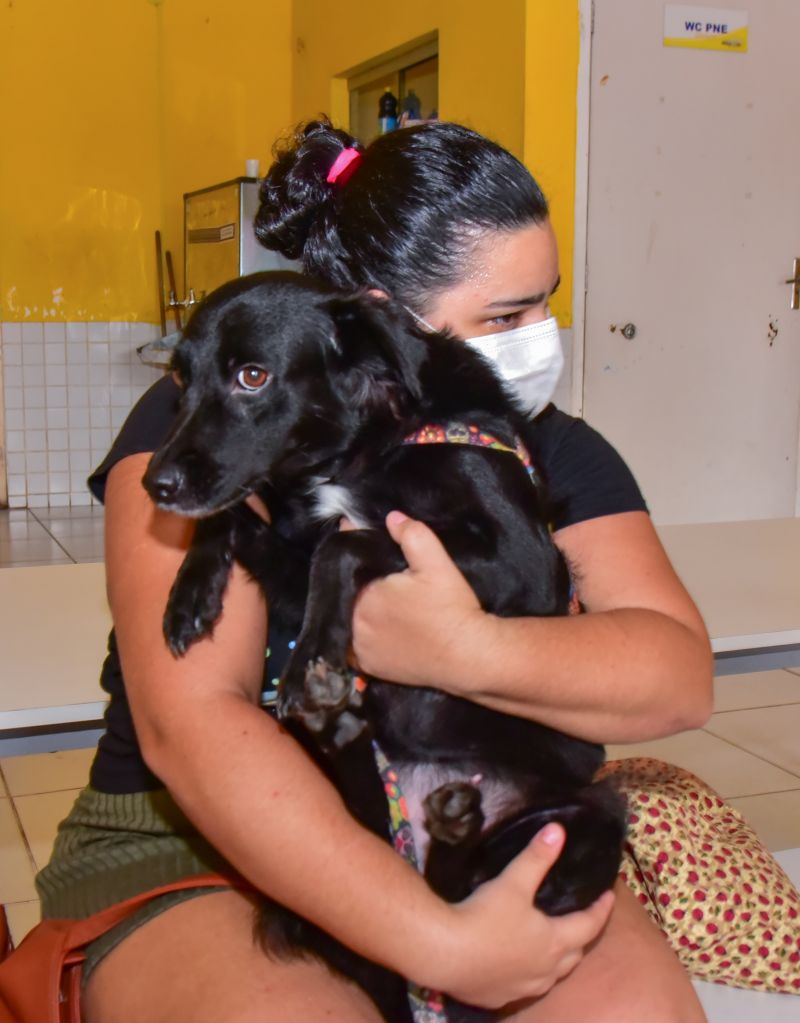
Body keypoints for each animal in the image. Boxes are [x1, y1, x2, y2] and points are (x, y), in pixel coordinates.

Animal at [144, 274, 626, 1023]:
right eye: (179, 378)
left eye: (252, 376)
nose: (155, 485)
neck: (373, 438)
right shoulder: (288, 547)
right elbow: (238, 517)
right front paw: (190, 594)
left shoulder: (518, 563)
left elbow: (347, 544)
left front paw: (313, 651)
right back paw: (344, 732)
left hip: (587, 820)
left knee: (461, 909)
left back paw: (449, 828)